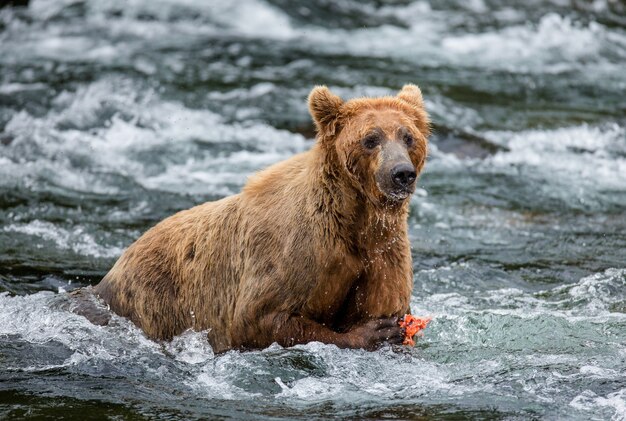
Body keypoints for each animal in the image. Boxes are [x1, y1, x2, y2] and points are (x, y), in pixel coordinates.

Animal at [89, 84, 428, 352]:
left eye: (407, 137)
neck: (353, 220)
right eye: (371, 138)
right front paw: (374, 332)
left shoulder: (382, 252)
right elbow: (258, 318)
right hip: (155, 299)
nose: (401, 174)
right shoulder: (296, 251)